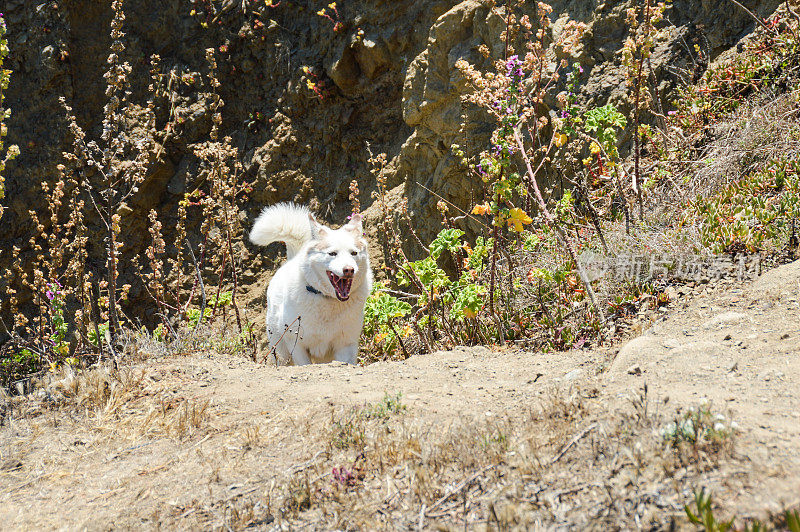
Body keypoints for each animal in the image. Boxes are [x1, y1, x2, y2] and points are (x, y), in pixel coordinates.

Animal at [247, 204, 372, 366]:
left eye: (354, 253)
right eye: (332, 253)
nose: (349, 269)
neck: (327, 300)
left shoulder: (345, 345)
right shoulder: (297, 344)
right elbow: (303, 363)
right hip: (281, 351)